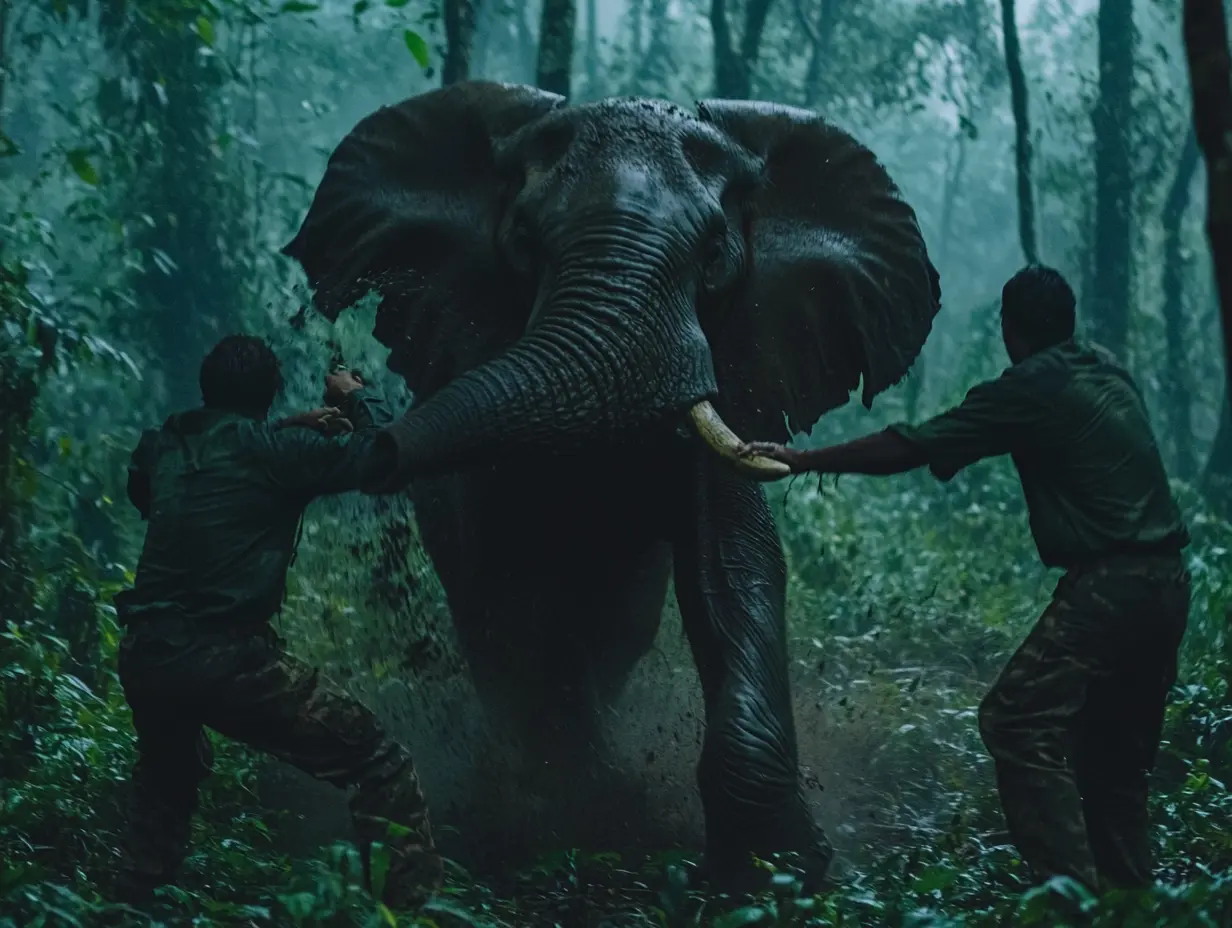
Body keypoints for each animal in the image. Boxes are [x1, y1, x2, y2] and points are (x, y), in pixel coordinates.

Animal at [283, 81, 941, 891]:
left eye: (714, 254)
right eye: (524, 238)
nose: (349, 406)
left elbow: (737, 567)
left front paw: (775, 872)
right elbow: (515, 584)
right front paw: (591, 812)